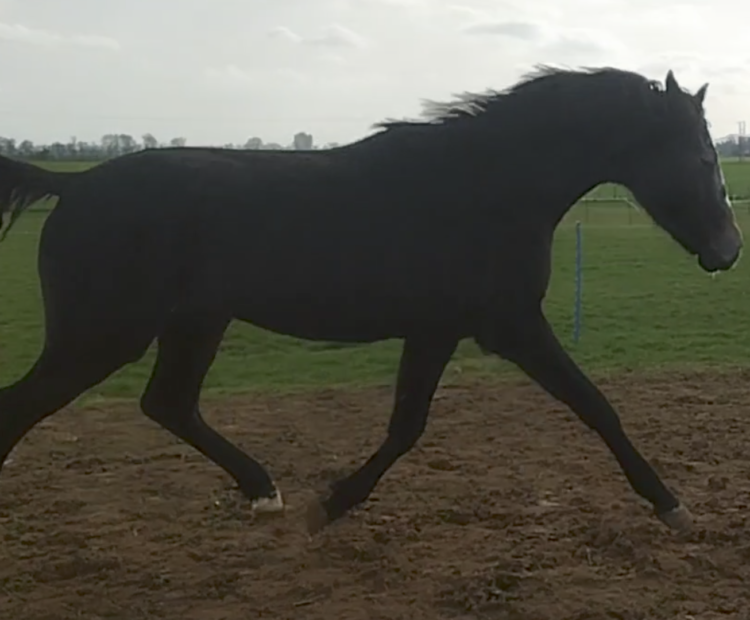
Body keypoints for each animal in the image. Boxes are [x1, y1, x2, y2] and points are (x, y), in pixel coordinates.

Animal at [0, 66, 741, 537]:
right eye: (704, 159)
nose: (730, 249)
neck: (483, 188)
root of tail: (74, 187)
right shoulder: (507, 326)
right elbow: (593, 406)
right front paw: (672, 506)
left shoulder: (443, 330)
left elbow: (407, 425)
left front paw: (327, 505)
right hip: (102, 335)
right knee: (25, 406)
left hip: (192, 325)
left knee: (169, 404)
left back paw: (264, 491)